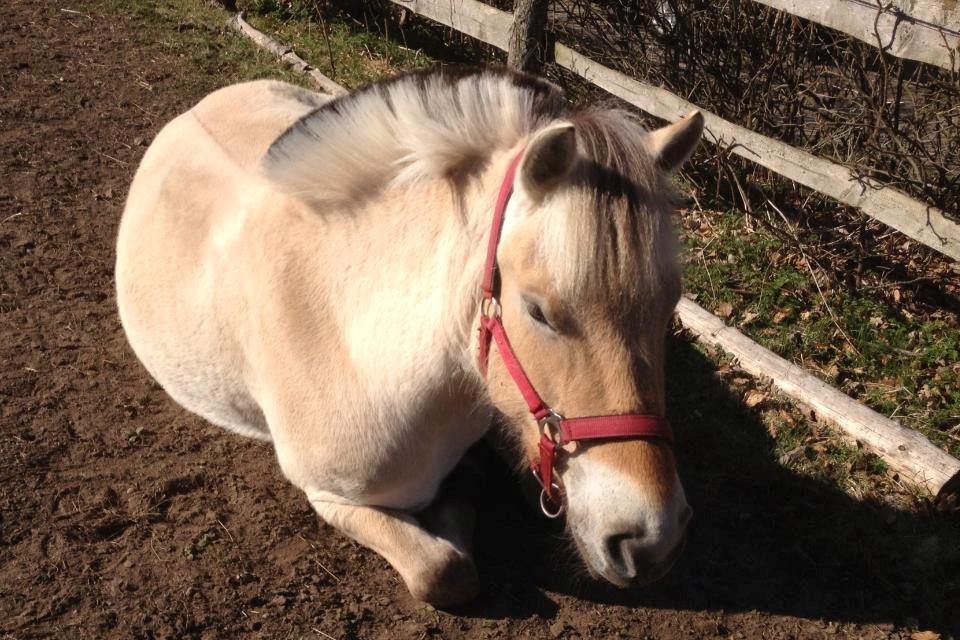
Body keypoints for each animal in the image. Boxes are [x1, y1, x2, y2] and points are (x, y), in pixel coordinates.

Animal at [118, 67, 704, 608]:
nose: (652, 540)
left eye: (667, 306)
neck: (357, 341)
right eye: (538, 310)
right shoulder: (330, 496)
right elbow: (443, 570)